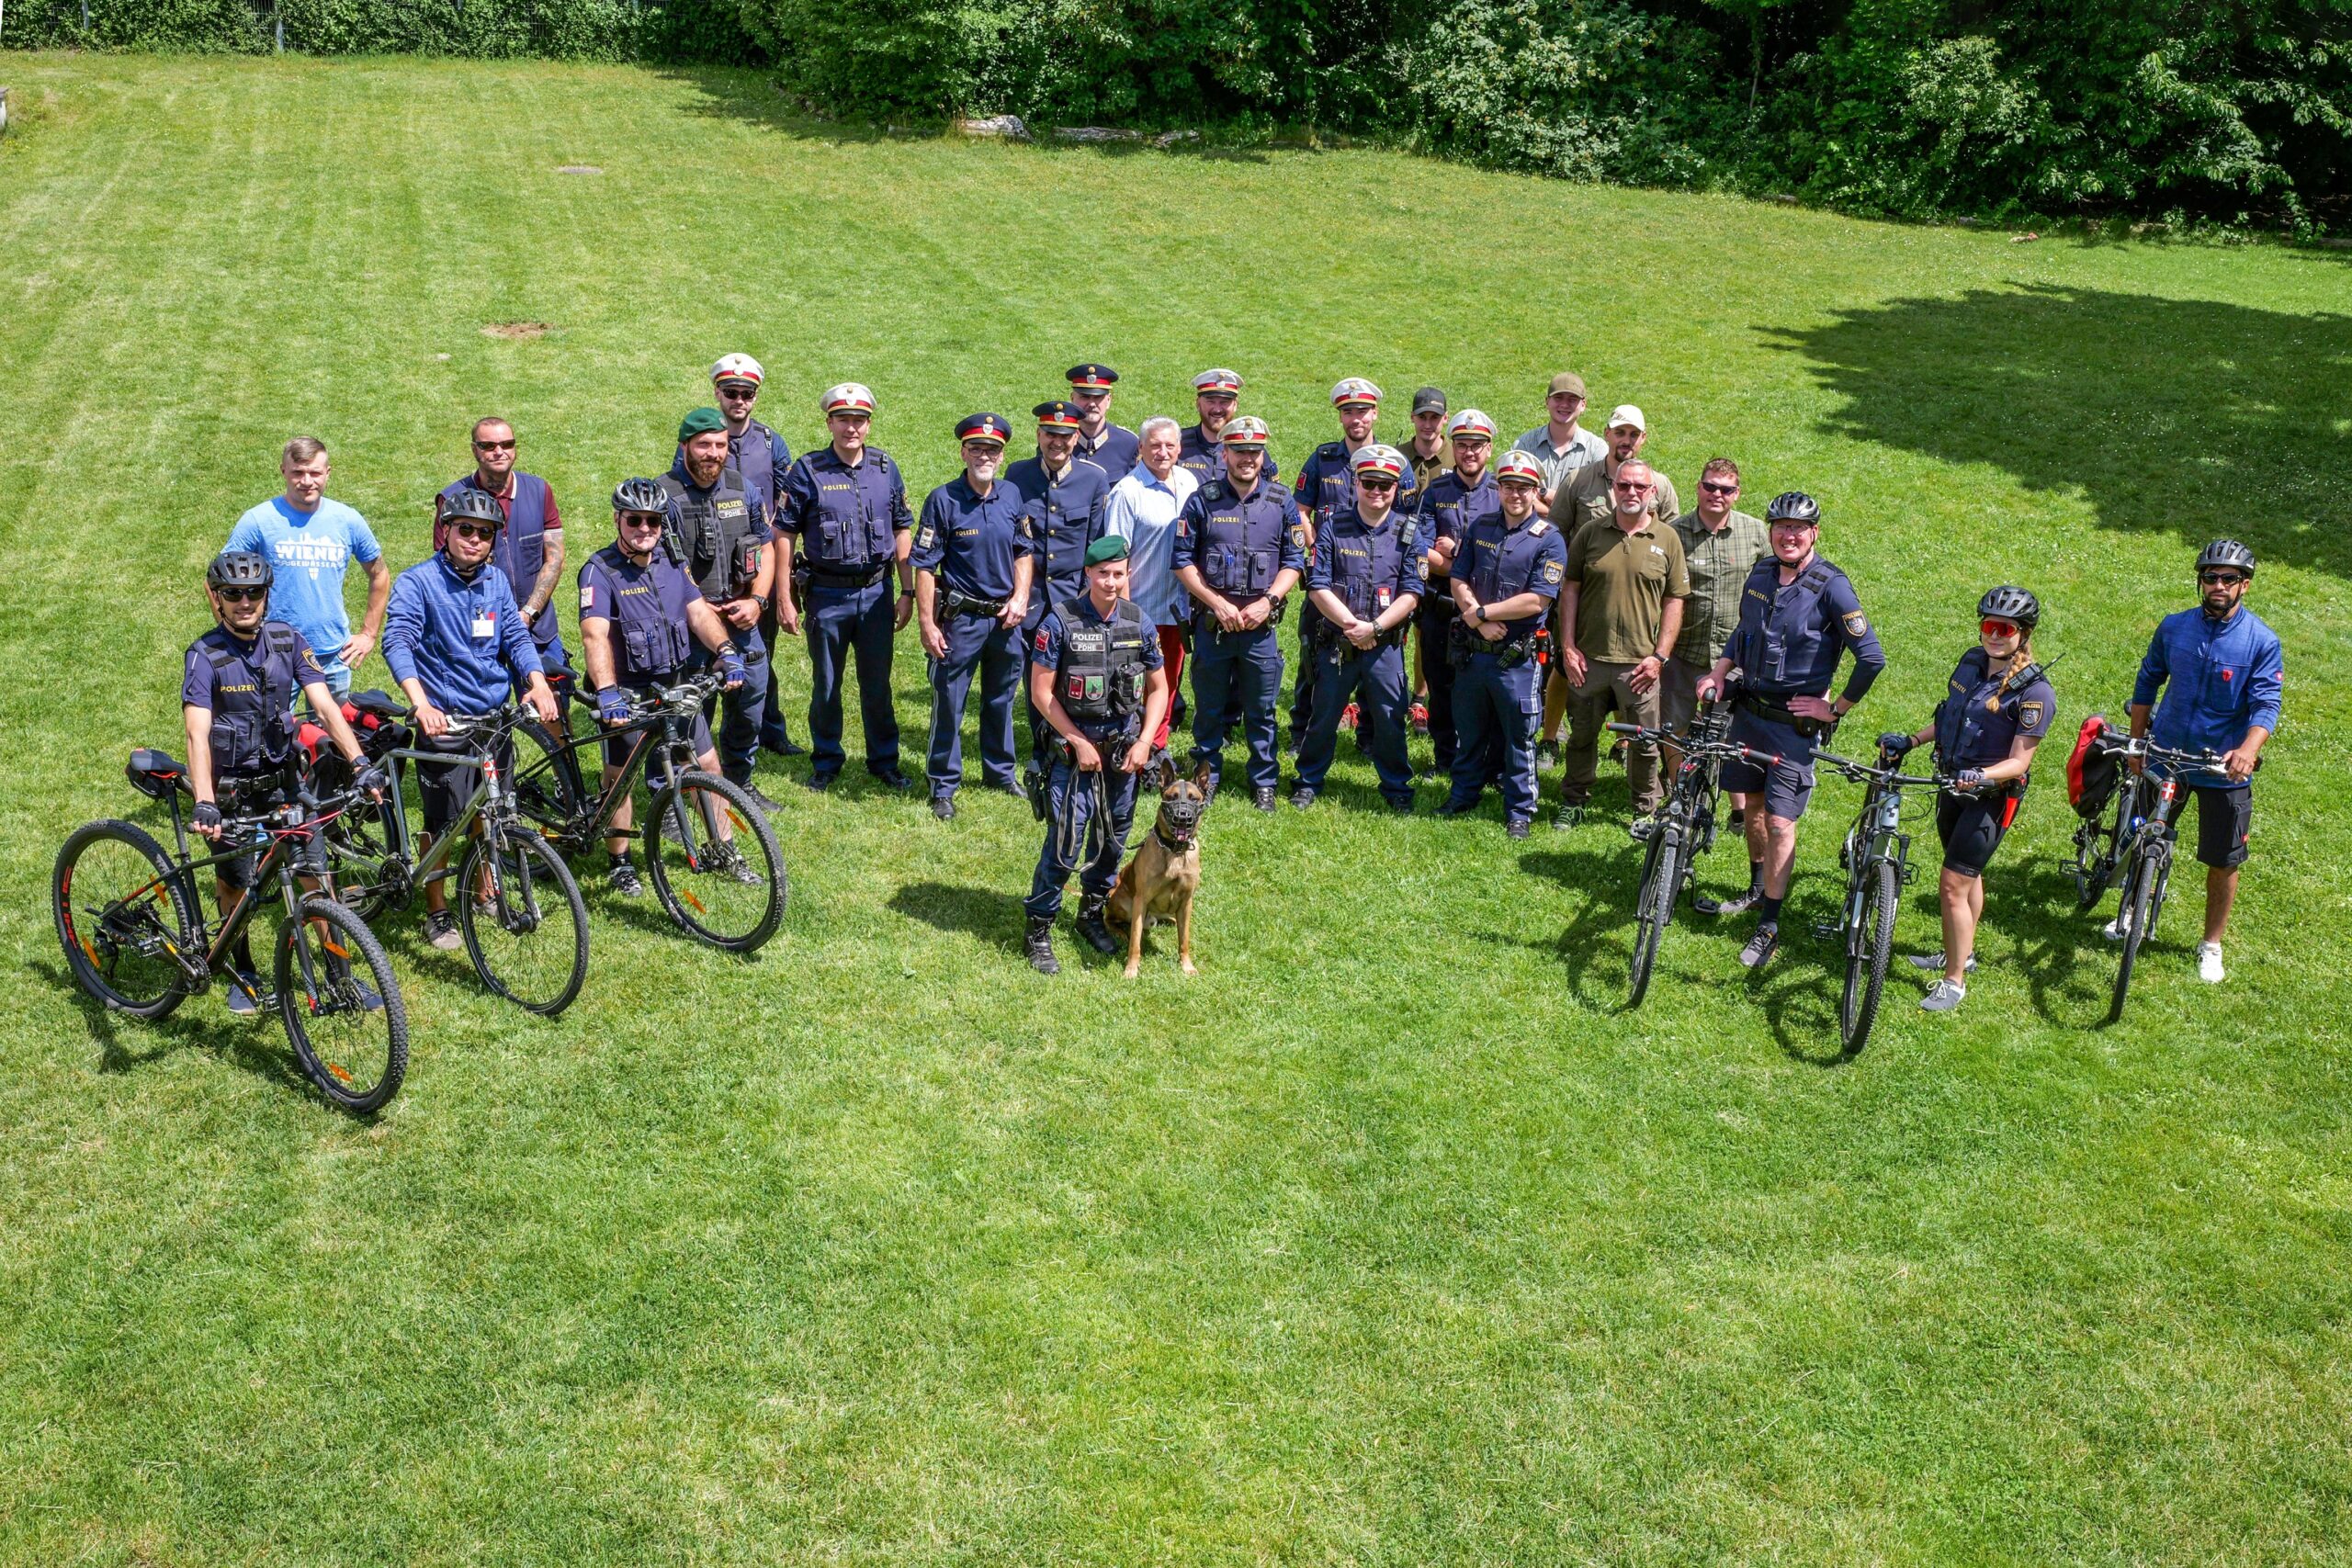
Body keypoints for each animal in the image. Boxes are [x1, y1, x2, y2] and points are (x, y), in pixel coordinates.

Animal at [1105, 751, 1213, 973]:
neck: (1175, 852)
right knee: (1108, 919)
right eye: (1172, 797)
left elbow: (1184, 940)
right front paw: (1131, 969)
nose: (1183, 818)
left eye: (1194, 799)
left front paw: (1187, 966)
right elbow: (1135, 941)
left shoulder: (1187, 901)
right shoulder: (1141, 900)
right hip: (1122, 901)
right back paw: (1118, 932)